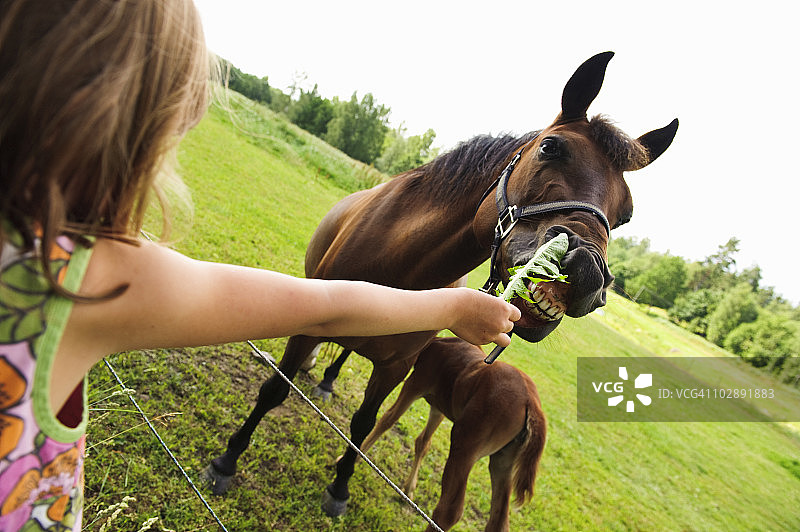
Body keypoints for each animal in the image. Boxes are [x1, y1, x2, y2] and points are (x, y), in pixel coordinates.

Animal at [359, 336, 546, 532]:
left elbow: (387, 419)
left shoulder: (415, 384)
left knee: (449, 511)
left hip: (464, 444)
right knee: (499, 521)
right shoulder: (438, 407)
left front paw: (355, 454)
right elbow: (423, 442)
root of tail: (531, 404)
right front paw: (409, 488)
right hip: (503, 460)